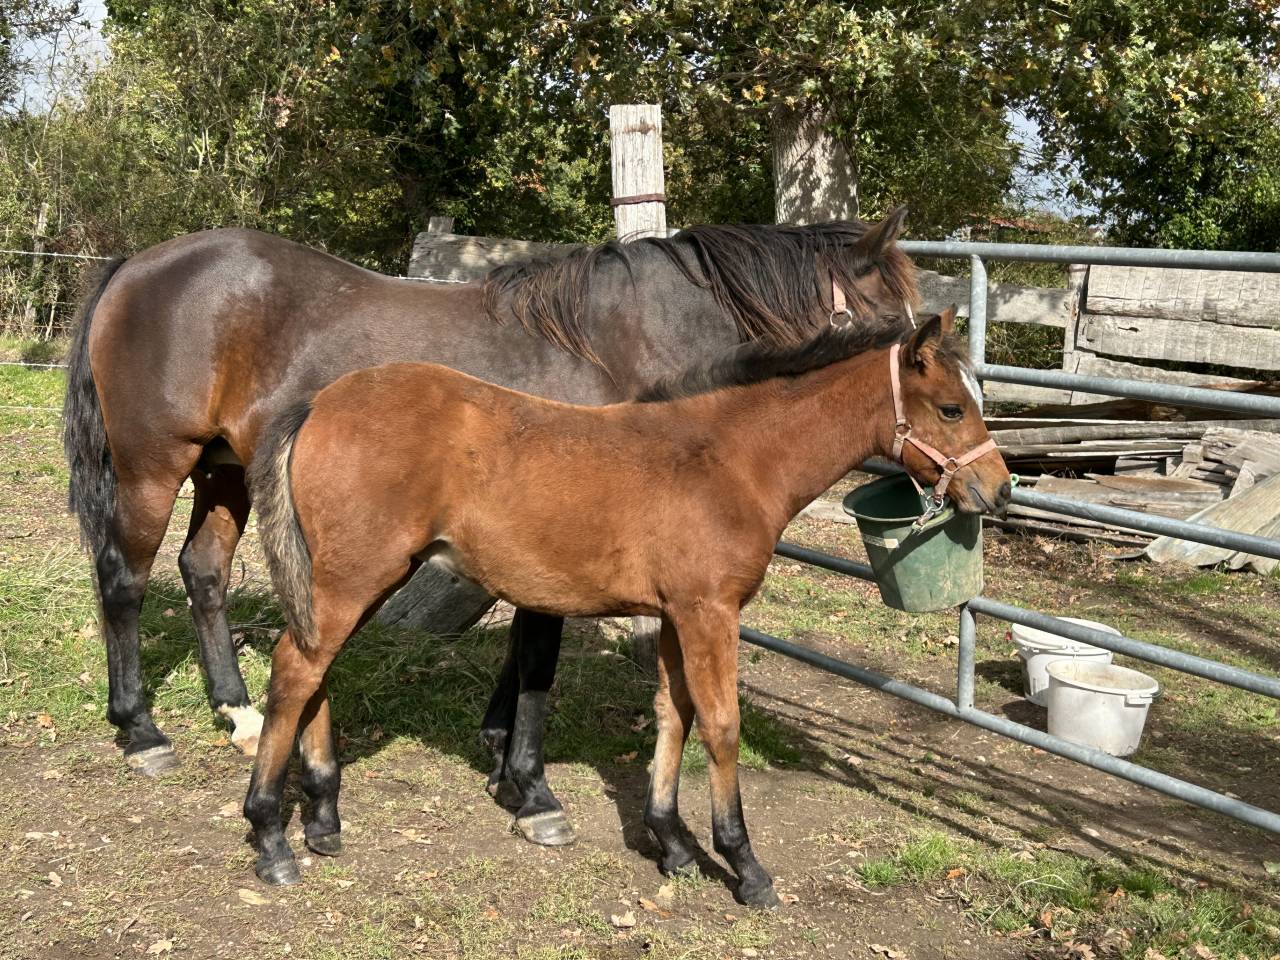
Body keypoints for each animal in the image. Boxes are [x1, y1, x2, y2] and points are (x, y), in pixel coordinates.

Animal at [62, 210, 920, 846]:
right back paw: (141, 731)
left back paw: (237, 711)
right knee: (124, 580)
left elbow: (522, 654)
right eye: (900, 333)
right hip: (151, 468)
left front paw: (499, 750)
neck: (617, 344)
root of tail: (136, 267)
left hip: (226, 471)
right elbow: (538, 660)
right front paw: (532, 790)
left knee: (203, 571)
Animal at [242, 310, 1011, 904]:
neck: (728, 460)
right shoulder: (709, 611)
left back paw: (322, 819)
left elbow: (674, 713)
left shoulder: (674, 613)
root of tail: (318, 403)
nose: (999, 491)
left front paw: (670, 841)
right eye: (951, 408)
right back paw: (270, 834)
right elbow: (721, 726)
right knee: (296, 670)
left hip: (353, 580)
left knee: (313, 670)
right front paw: (744, 864)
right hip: (354, 578)